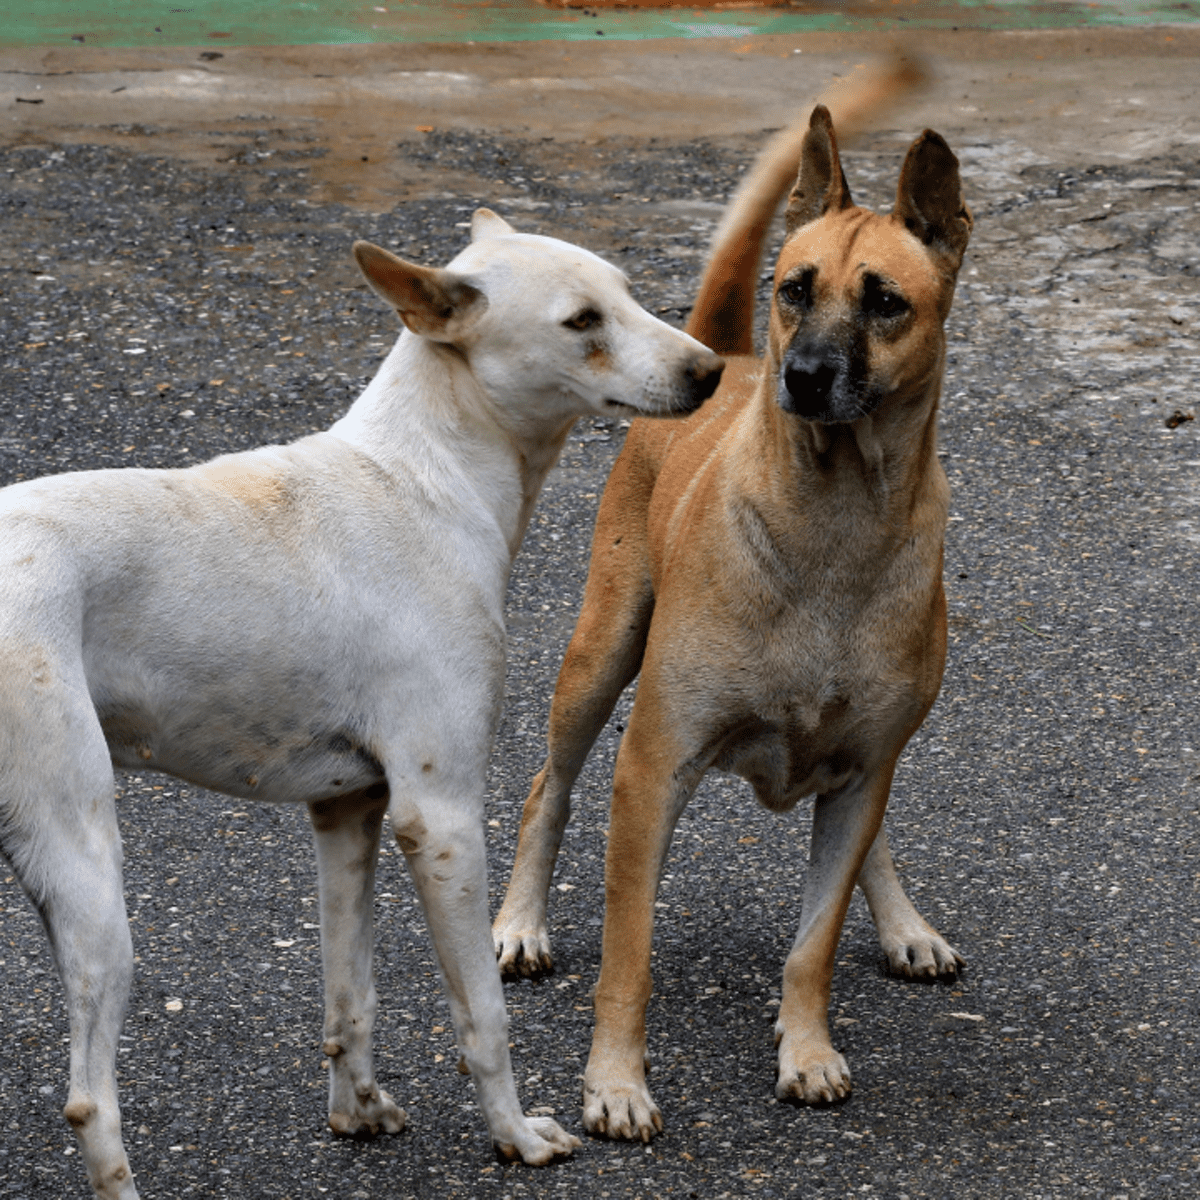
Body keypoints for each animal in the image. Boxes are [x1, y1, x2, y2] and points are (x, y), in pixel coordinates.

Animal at [0, 211, 720, 1195]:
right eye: (581, 321)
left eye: (630, 293)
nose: (714, 370)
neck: (424, 478)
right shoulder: (442, 818)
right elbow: (483, 1015)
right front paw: (515, 1136)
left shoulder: (348, 814)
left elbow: (352, 995)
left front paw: (360, 1113)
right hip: (89, 876)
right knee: (89, 1102)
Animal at [492, 100, 969, 1132]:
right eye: (794, 287)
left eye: (886, 301)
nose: (807, 376)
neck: (835, 517)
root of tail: (739, 357)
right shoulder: (652, 770)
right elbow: (627, 956)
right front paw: (615, 1083)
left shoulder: (864, 771)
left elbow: (814, 941)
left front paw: (808, 1047)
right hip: (600, 654)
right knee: (547, 788)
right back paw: (518, 924)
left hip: (870, 759)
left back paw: (904, 925)